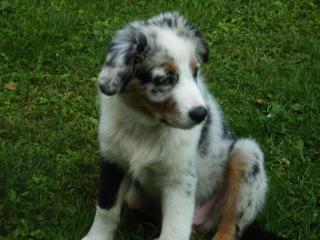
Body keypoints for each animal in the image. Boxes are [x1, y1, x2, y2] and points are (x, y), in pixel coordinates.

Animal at [82, 12, 268, 240]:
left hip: (246, 156)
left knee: (229, 226)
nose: (201, 114)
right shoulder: (113, 159)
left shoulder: (179, 179)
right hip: (135, 196)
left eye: (195, 73)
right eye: (165, 79)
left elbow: (175, 229)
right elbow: (106, 209)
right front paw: (96, 237)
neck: (144, 125)